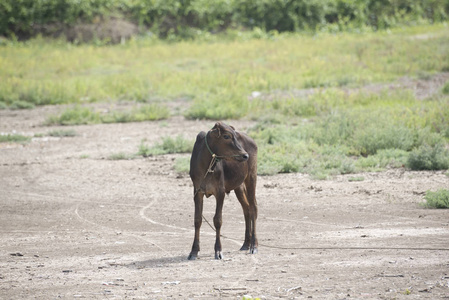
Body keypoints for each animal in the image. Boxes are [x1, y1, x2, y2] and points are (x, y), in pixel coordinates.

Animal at [187, 122, 258, 260]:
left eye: (235, 135)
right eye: (226, 136)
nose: (245, 155)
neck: (207, 165)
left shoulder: (220, 192)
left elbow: (217, 220)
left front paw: (218, 251)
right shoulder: (197, 192)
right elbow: (197, 220)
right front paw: (193, 251)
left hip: (251, 177)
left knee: (253, 208)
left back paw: (254, 245)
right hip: (239, 186)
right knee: (246, 209)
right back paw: (245, 244)